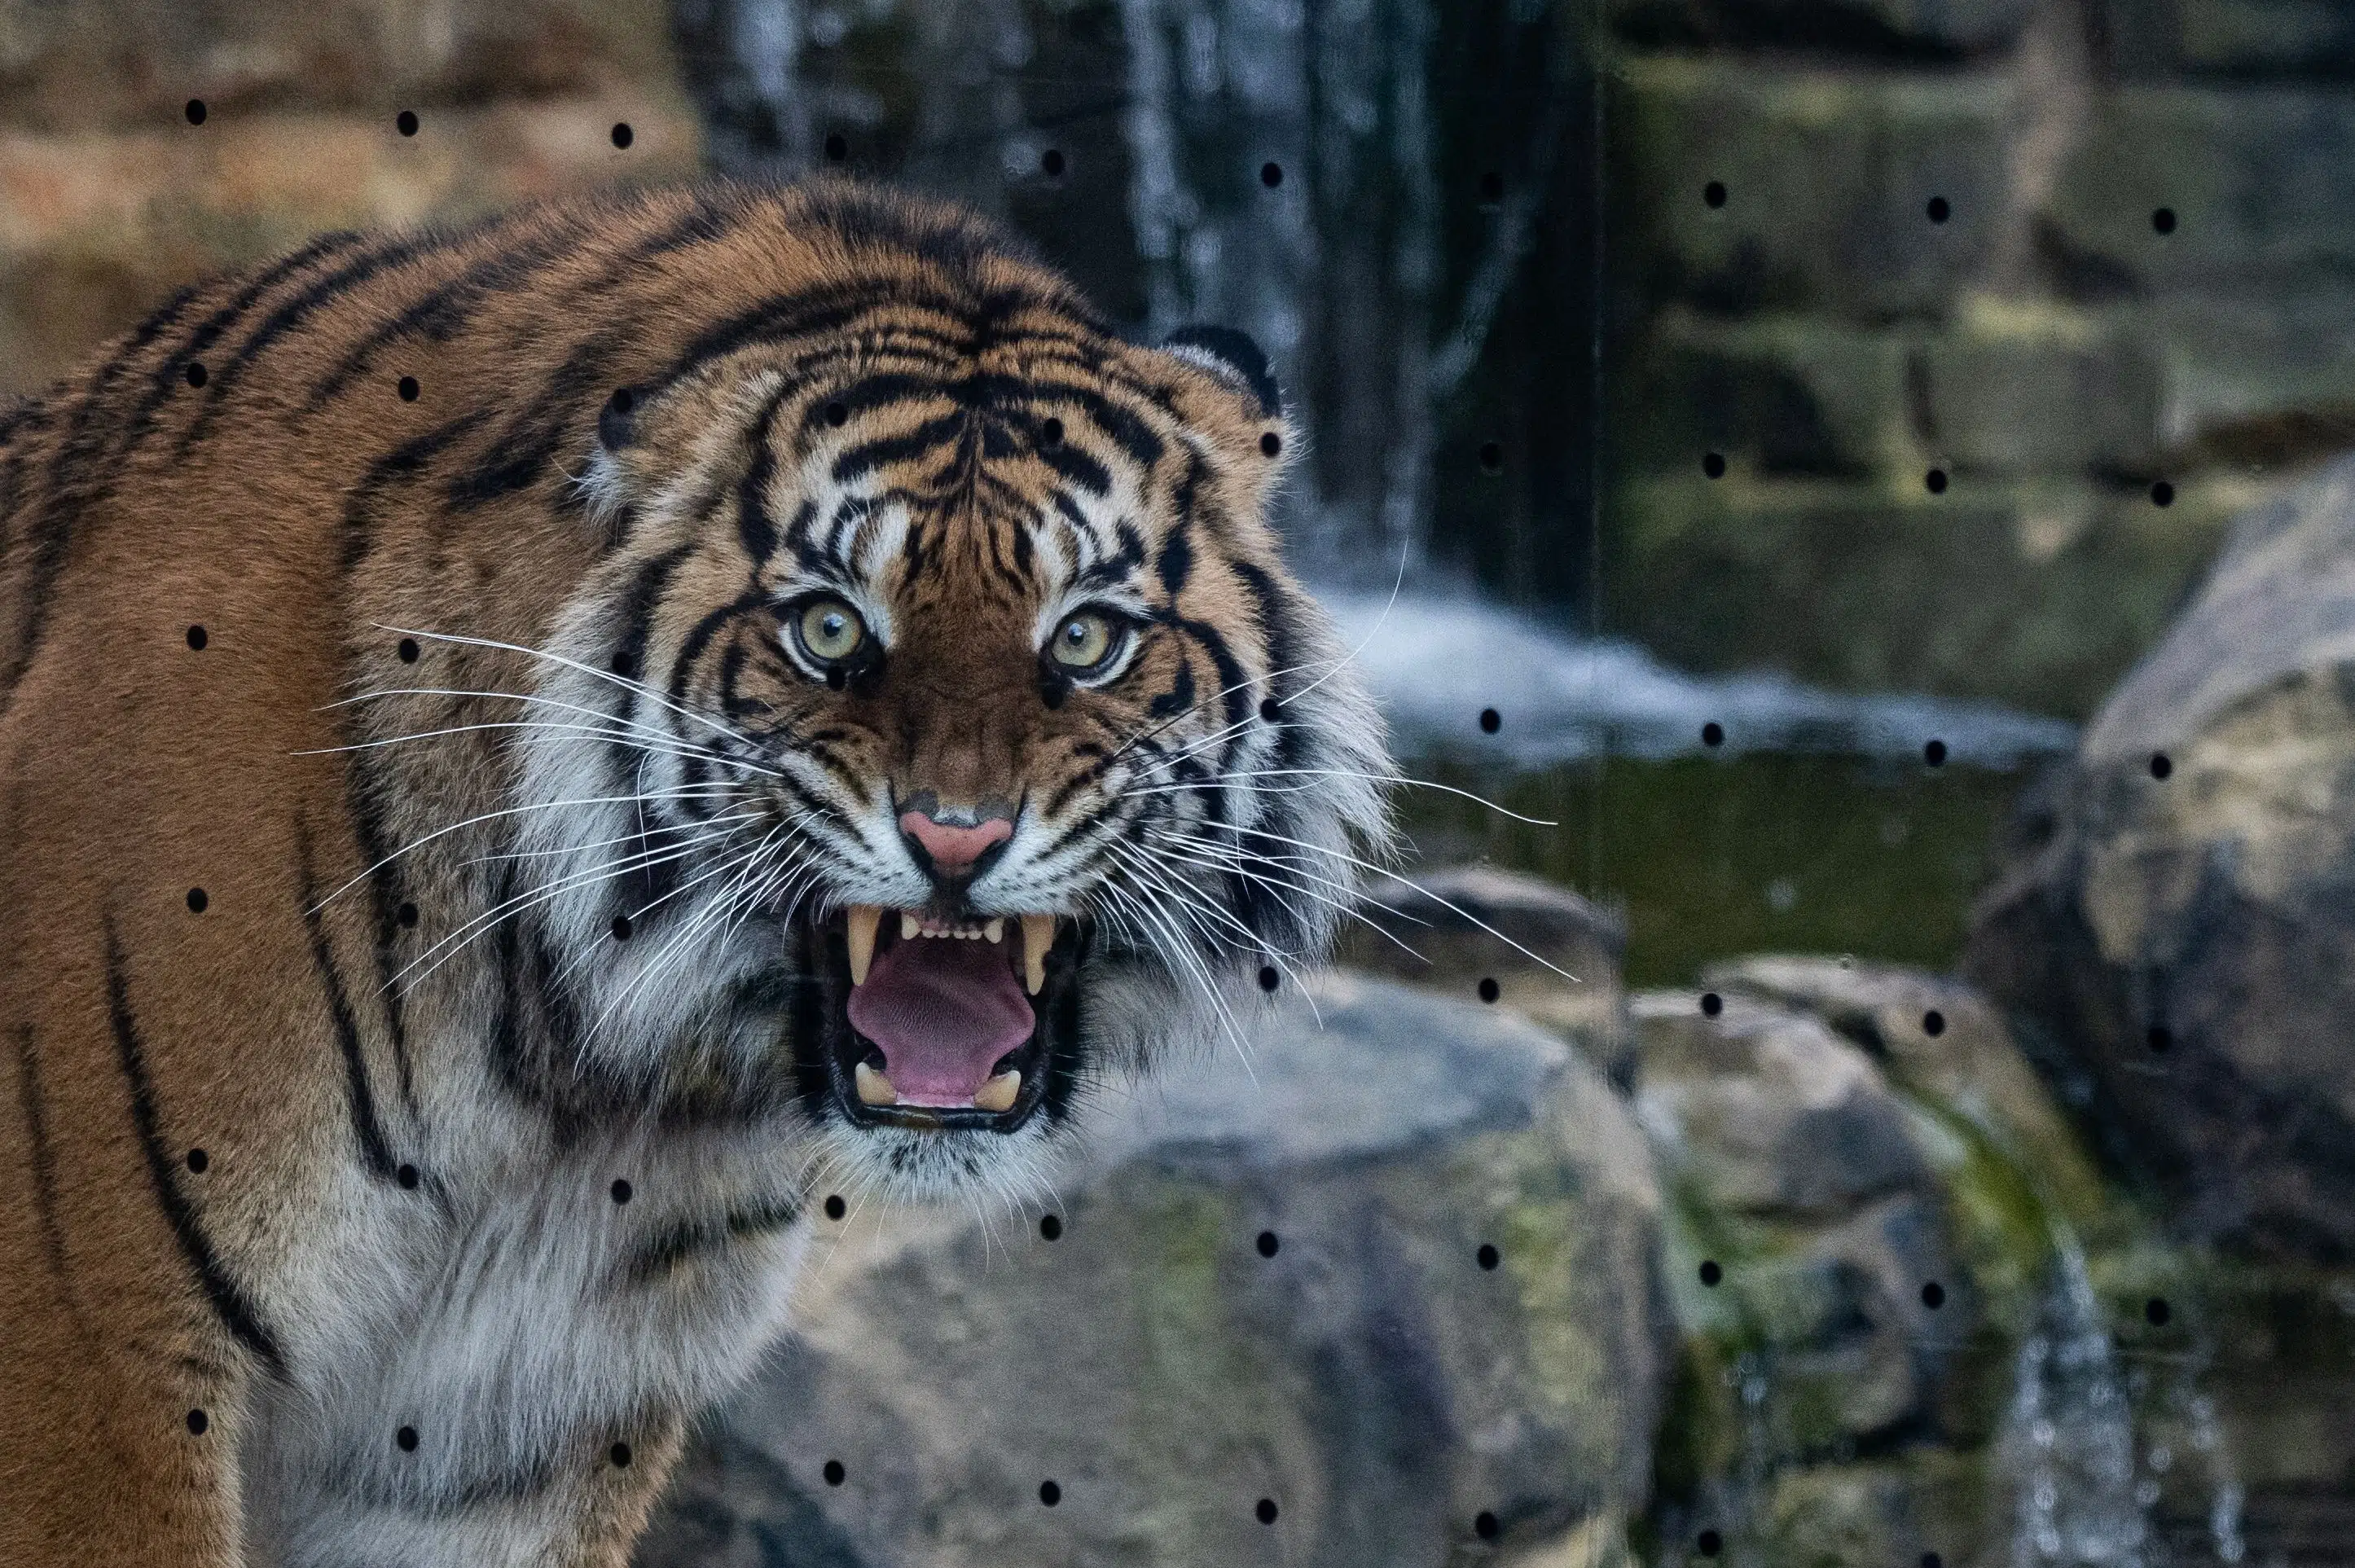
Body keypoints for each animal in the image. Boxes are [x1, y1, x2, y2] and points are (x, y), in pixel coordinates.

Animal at [0, 181, 1390, 1567]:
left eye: (1087, 638)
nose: (955, 837)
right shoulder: (99, 1357)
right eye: (828, 627)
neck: (580, 1075)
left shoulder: (506, 1434)